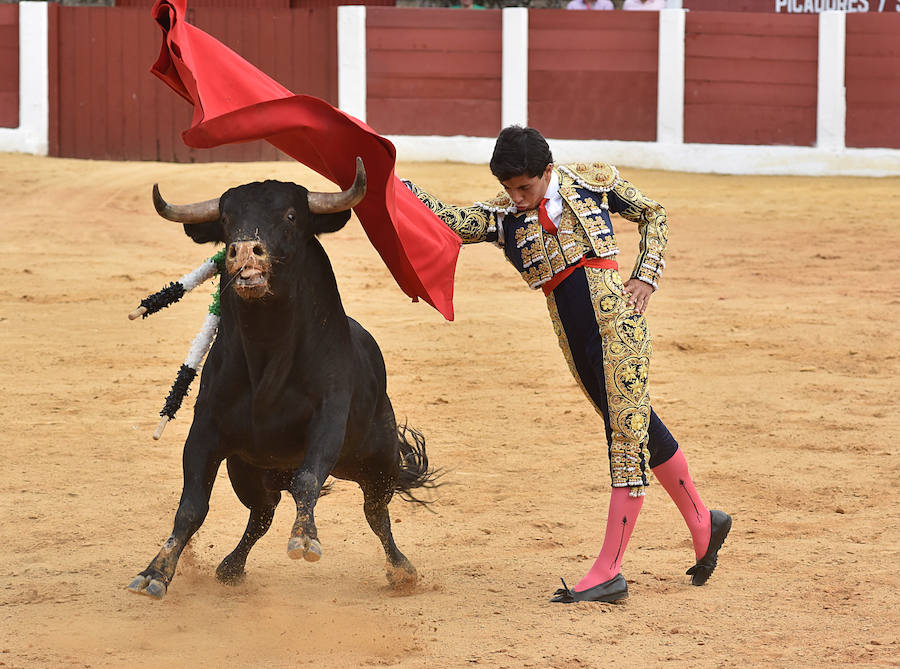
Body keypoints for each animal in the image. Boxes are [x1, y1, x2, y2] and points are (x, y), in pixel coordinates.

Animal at [126, 158, 436, 600]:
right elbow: (191, 507)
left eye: (291, 216)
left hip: (379, 461)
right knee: (262, 514)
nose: (243, 251)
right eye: (226, 220)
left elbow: (308, 481)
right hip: (249, 473)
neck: (267, 354)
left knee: (376, 513)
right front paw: (155, 572)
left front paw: (305, 539)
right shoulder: (205, 431)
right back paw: (230, 567)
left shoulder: (328, 420)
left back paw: (402, 572)